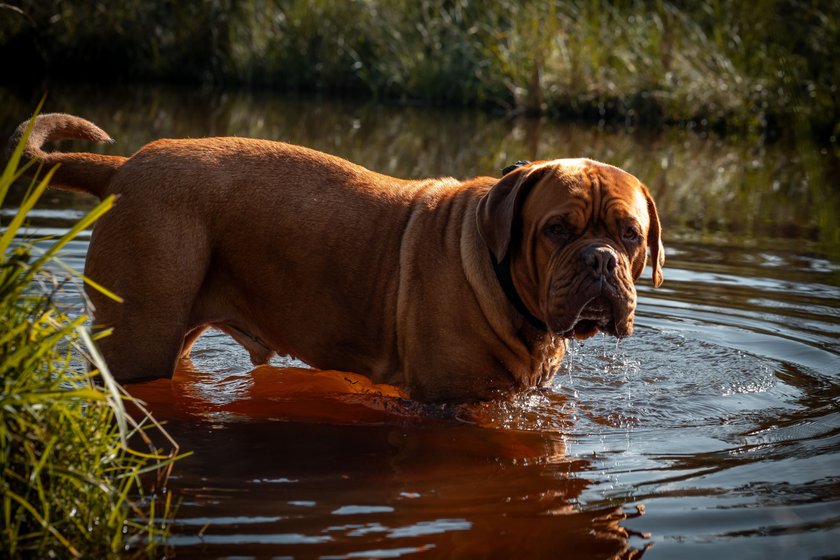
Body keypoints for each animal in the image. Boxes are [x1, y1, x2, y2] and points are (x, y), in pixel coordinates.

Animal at [8, 114, 664, 402]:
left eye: (630, 234)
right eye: (557, 229)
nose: (600, 261)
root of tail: (124, 167)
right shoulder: (444, 401)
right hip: (139, 334)